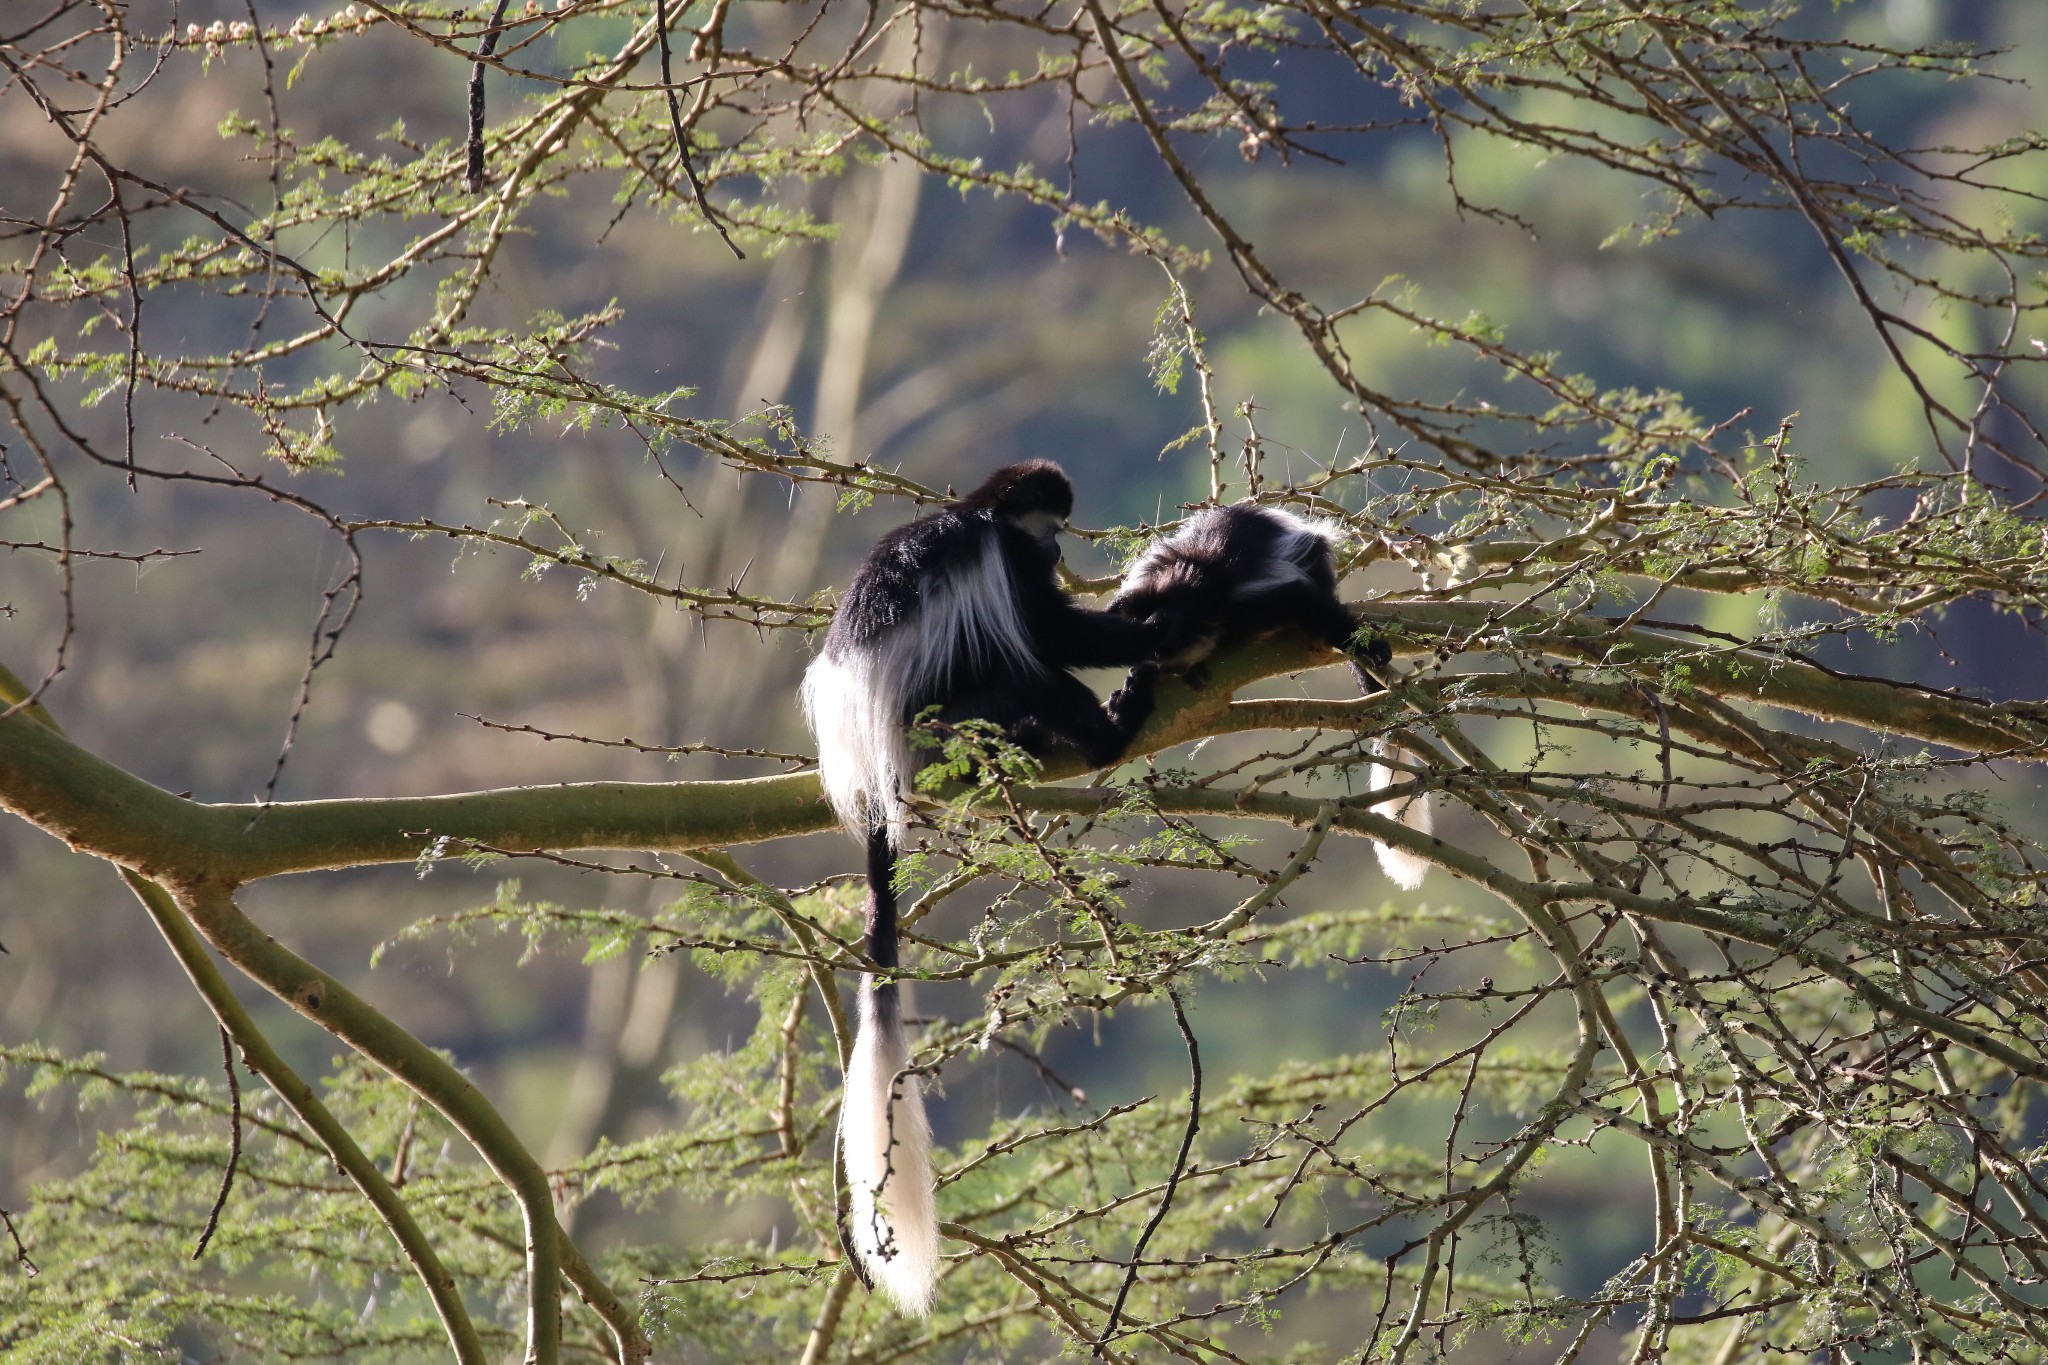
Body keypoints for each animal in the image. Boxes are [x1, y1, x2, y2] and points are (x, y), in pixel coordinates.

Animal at [802, 464, 1187, 1317]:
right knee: (1024, 673)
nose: (1060, 549)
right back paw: (1103, 731)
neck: (978, 513)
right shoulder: (1006, 566)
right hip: (946, 724)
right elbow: (1053, 635)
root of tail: (876, 771)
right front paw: (1163, 614)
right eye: (1051, 527)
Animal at [1114, 507, 1433, 892]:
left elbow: (1301, 600)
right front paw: (1132, 691)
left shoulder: (1245, 599)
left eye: (1168, 643)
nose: (1160, 664)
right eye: (1154, 649)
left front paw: (1368, 645)